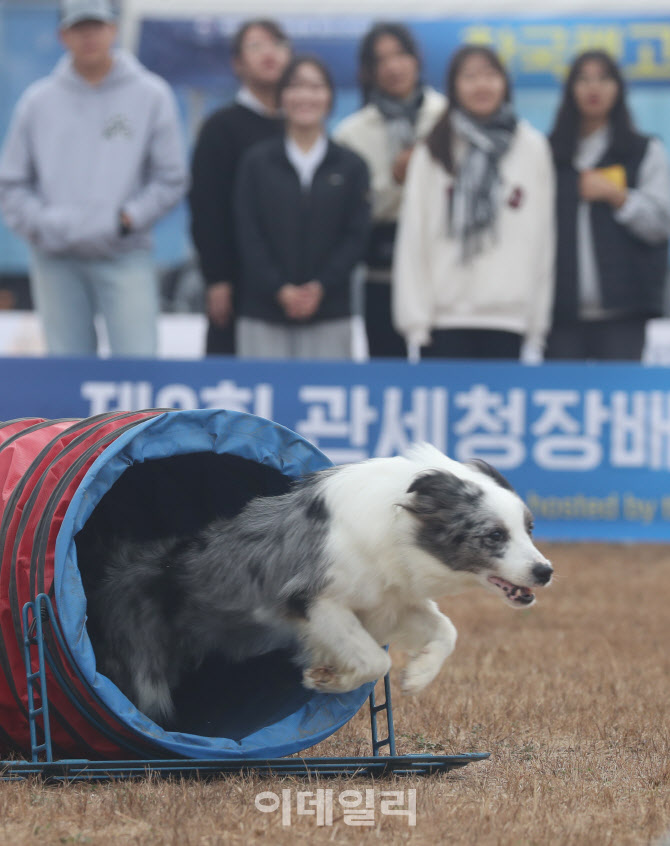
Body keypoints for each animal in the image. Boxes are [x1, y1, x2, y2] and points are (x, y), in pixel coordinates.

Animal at [84, 444, 552, 724]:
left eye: (529, 528)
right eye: (494, 536)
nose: (545, 572)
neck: (394, 533)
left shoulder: (390, 600)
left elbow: (447, 631)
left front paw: (418, 676)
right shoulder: (314, 601)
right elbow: (375, 660)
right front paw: (326, 679)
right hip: (146, 667)